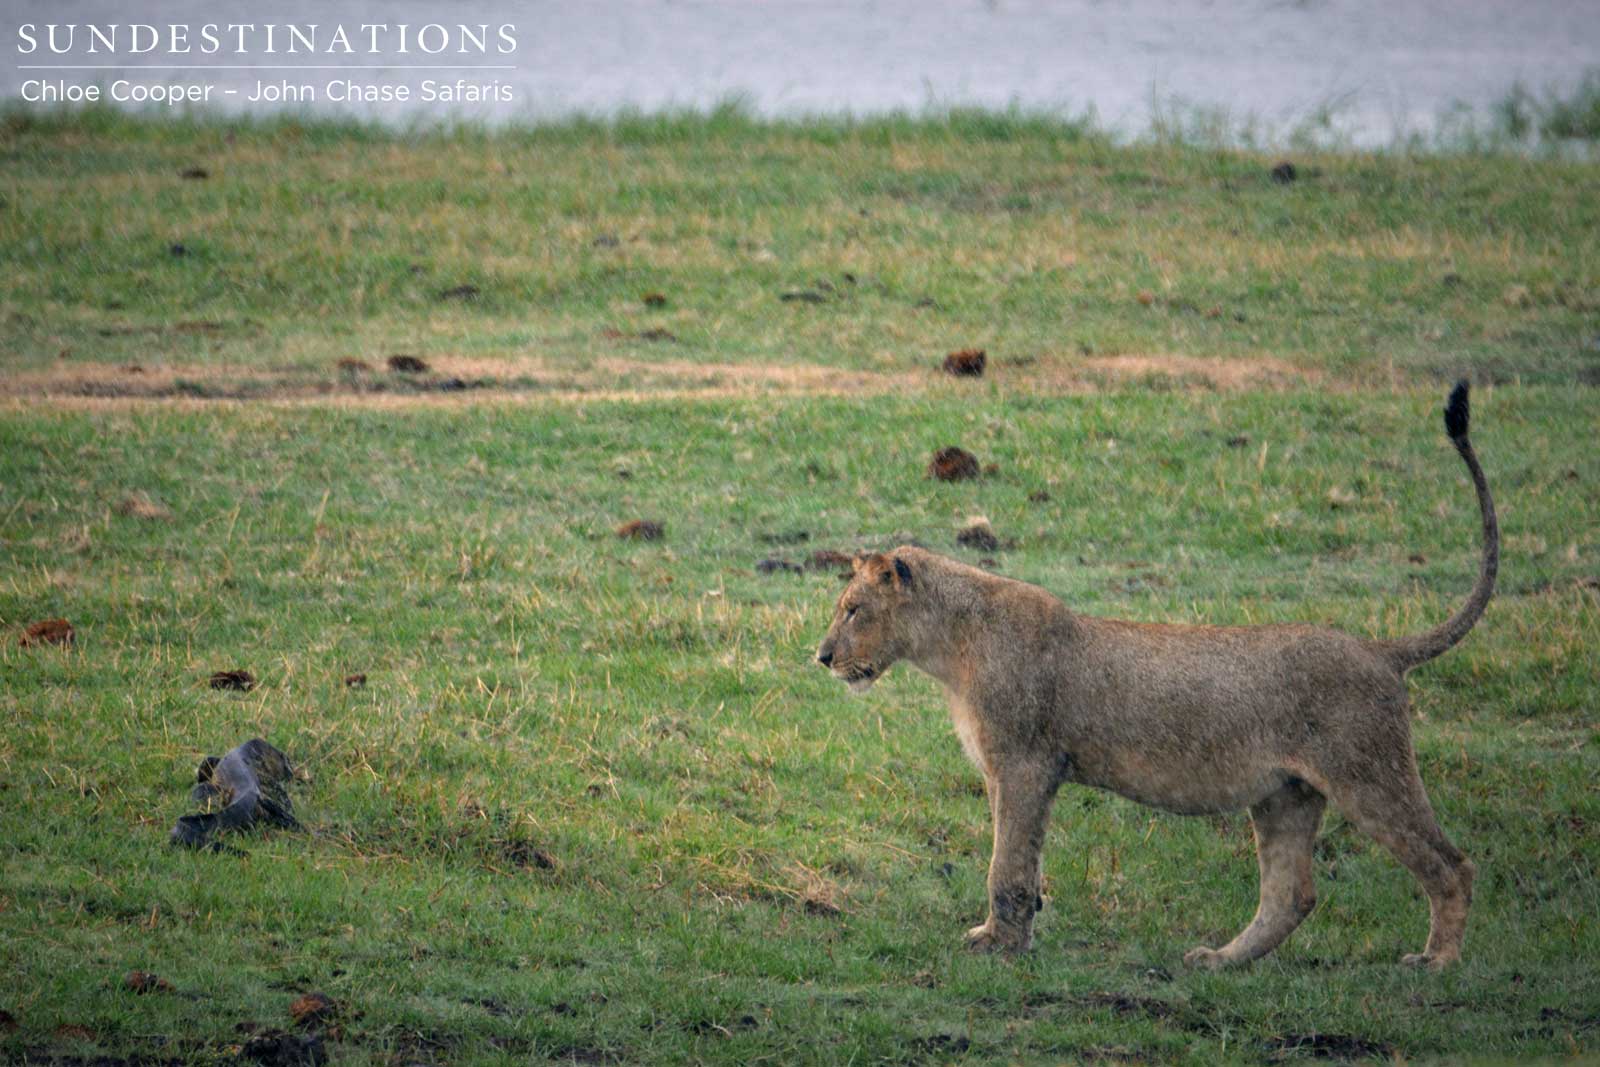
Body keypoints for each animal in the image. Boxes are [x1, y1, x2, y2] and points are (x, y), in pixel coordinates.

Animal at [815, 383, 1496, 969]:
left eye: (852, 610)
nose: (821, 657)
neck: (949, 648)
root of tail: (1379, 650)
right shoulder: (1006, 772)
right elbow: (1021, 861)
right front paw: (1013, 933)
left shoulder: (1026, 765)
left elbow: (1006, 865)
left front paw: (999, 945)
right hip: (1285, 795)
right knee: (1291, 895)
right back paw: (1219, 961)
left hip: (1370, 775)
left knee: (1452, 865)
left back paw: (1437, 962)